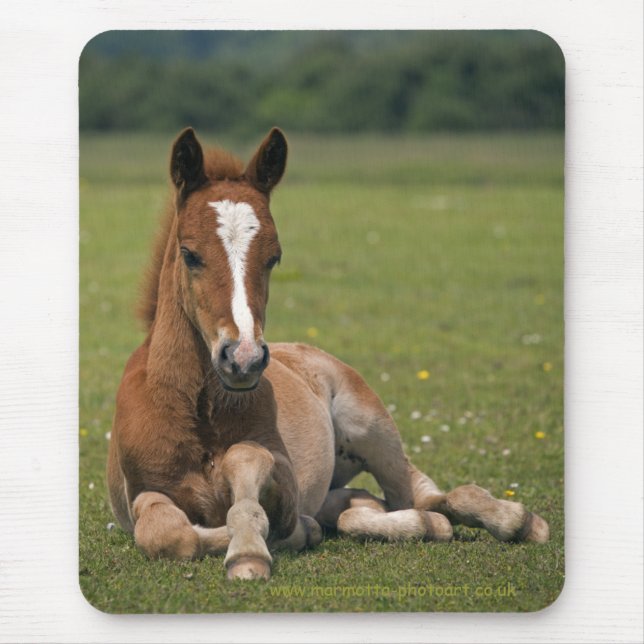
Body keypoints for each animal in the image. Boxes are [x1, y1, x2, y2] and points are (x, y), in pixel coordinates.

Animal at [107, 127, 549, 581]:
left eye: (274, 257)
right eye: (190, 254)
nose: (244, 359)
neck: (197, 412)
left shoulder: (285, 480)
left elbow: (248, 472)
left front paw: (252, 550)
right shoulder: (140, 493)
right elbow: (169, 534)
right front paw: (280, 537)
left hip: (371, 426)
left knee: (420, 494)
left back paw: (515, 520)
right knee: (367, 506)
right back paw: (416, 524)